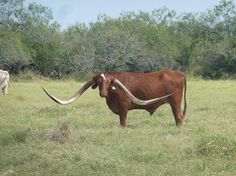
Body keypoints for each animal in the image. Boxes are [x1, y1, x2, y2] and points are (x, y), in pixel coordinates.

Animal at [42, 70, 186, 126]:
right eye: (99, 82)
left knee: (178, 117)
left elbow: (123, 123)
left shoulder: (123, 108)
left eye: (108, 82)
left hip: (175, 103)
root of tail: (180, 73)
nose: (102, 93)